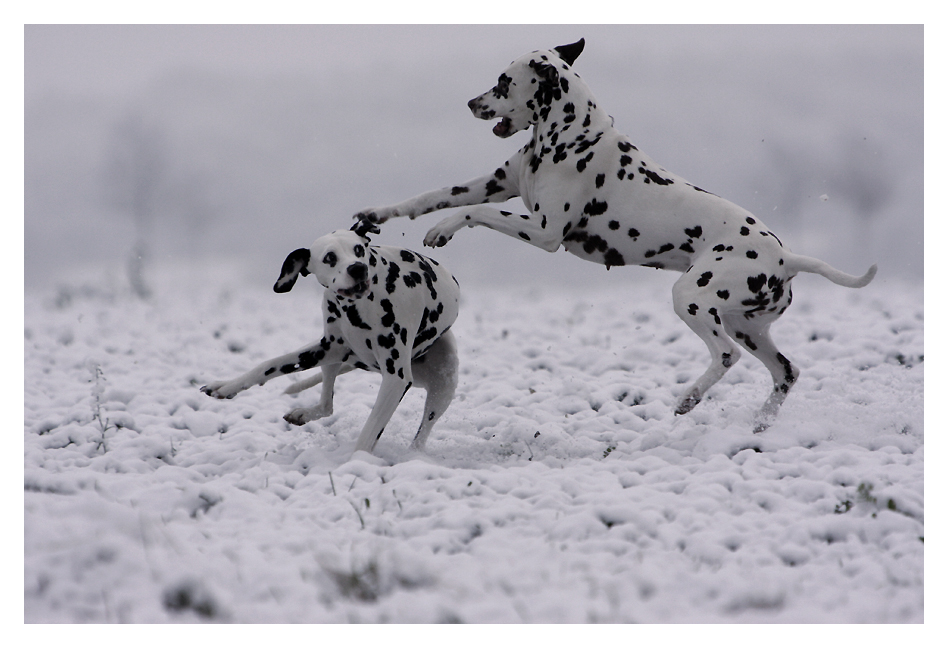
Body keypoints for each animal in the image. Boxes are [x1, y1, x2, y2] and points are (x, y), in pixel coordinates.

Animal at [203, 221, 462, 450]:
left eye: (358, 249)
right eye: (329, 257)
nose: (358, 268)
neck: (358, 307)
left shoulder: (396, 378)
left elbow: (369, 432)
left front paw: (355, 462)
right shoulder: (325, 348)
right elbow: (268, 365)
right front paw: (226, 387)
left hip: (442, 386)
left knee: (421, 436)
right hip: (331, 357)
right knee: (327, 405)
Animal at [356, 36, 876, 430]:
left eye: (503, 82)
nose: (471, 103)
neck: (566, 137)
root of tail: (786, 258)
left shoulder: (543, 232)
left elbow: (474, 212)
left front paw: (442, 228)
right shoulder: (496, 182)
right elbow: (432, 195)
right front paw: (377, 214)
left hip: (693, 299)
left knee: (726, 356)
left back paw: (690, 398)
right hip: (749, 326)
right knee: (786, 371)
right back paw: (762, 423)